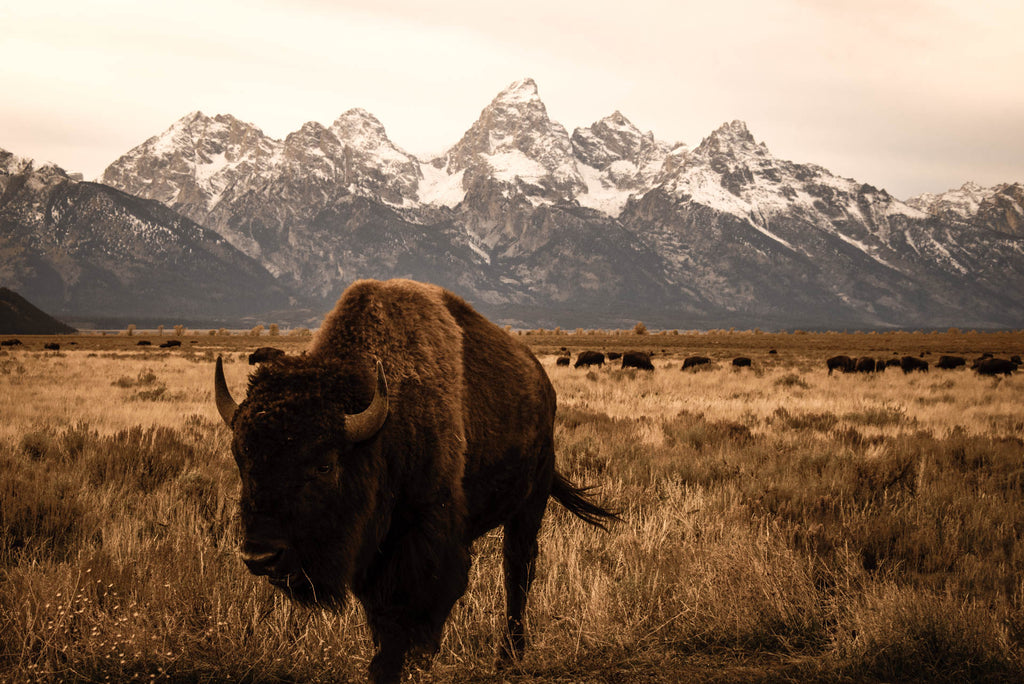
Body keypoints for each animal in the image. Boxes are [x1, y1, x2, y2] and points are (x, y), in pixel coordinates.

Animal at [213, 279, 617, 684]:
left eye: (325, 465)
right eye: (242, 459)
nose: (261, 556)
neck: (385, 425)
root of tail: (542, 384)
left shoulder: (427, 539)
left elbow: (421, 605)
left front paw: (407, 663)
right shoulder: (378, 551)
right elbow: (383, 613)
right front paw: (392, 663)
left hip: (530, 502)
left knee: (517, 568)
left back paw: (510, 655)